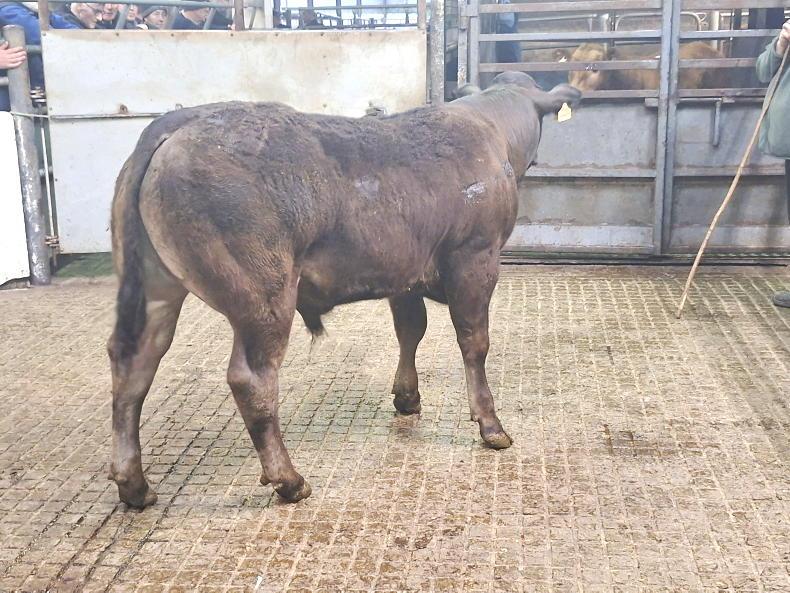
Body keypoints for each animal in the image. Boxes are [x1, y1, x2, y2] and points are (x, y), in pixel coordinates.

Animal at [107, 72, 581, 508]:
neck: (489, 128)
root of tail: (180, 121)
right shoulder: (475, 258)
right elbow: (474, 343)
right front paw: (491, 425)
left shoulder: (403, 272)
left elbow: (411, 330)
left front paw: (407, 397)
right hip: (264, 295)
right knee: (251, 379)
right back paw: (289, 479)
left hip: (156, 287)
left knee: (133, 364)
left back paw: (134, 485)